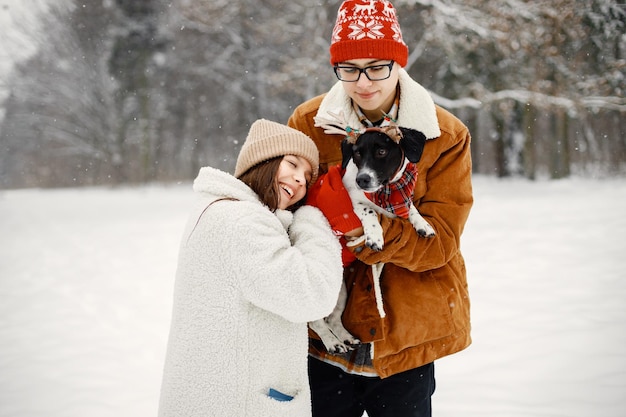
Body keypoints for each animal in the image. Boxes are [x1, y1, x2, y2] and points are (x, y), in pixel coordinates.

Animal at [308, 114, 434, 354]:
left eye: (382, 151)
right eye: (357, 153)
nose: (362, 180)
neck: (386, 193)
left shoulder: (400, 206)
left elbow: (411, 208)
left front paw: (423, 224)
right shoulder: (351, 202)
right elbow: (368, 211)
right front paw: (374, 236)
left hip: (341, 292)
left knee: (332, 319)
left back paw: (345, 338)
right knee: (316, 322)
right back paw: (332, 343)